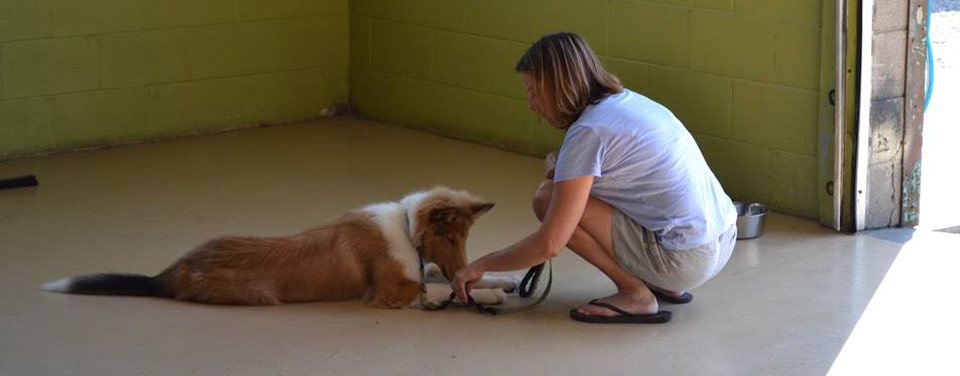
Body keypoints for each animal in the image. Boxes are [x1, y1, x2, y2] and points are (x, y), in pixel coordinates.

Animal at [41, 187, 516, 308]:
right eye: (449, 237)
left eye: (465, 239)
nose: (460, 267)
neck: (405, 226)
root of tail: (169, 273)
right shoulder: (392, 292)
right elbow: (435, 288)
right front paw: (485, 295)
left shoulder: (417, 269)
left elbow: (440, 275)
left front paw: (504, 279)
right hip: (256, 296)